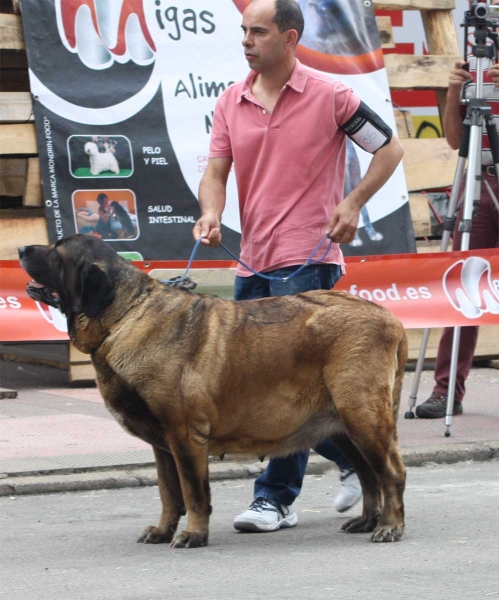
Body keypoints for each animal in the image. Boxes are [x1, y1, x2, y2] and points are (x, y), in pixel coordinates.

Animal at [20, 233, 410, 548]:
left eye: (57, 252)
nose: (21, 248)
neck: (125, 313)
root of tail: (390, 318)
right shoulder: (163, 445)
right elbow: (168, 492)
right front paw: (162, 531)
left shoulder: (184, 435)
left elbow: (193, 492)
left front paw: (193, 534)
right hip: (342, 424)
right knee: (368, 473)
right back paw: (368, 520)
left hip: (361, 414)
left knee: (390, 473)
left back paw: (389, 526)